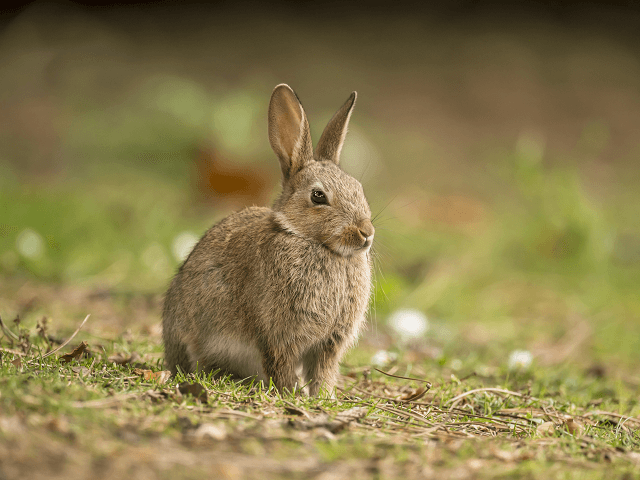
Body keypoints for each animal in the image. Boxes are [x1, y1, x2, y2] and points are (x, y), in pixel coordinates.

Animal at [162, 83, 376, 398]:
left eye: (359, 189)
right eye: (318, 196)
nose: (366, 232)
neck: (313, 242)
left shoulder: (329, 343)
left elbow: (323, 372)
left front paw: (323, 397)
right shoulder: (278, 334)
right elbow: (281, 364)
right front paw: (292, 393)